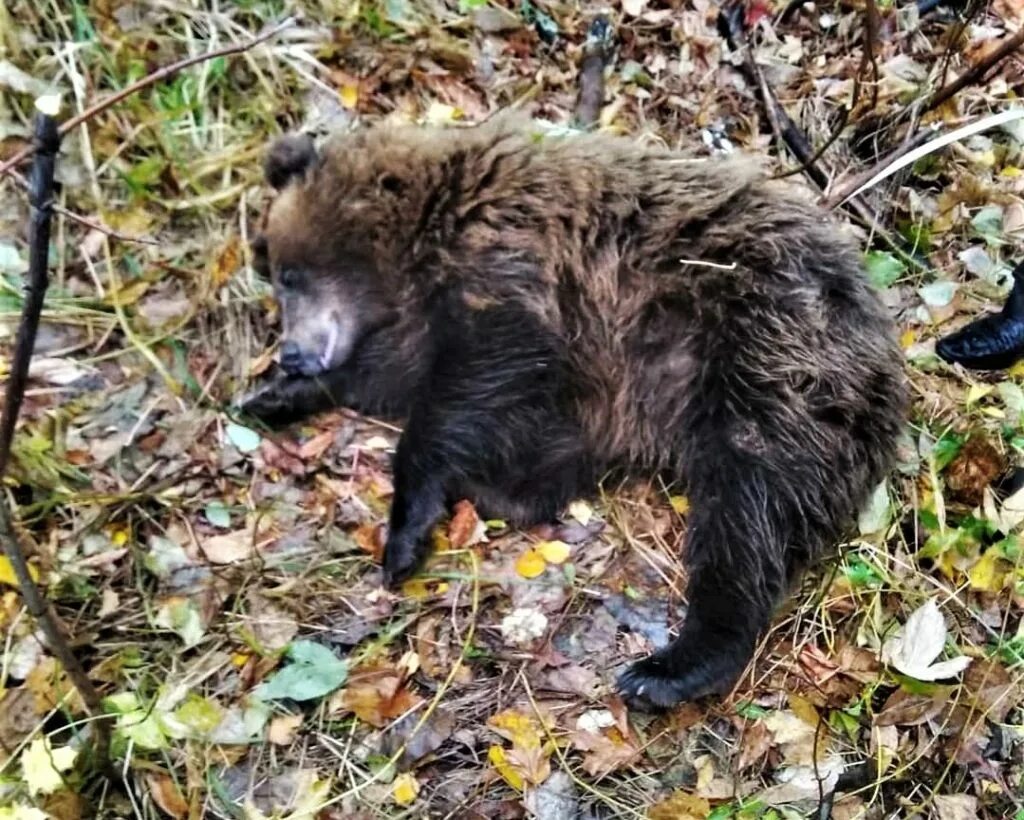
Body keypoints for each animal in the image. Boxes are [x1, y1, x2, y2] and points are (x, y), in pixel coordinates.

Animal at [237, 115, 905, 708]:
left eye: (287, 273)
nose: (291, 353)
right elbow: (404, 379)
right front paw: (272, 396)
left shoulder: (514, 275)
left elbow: (473, 380)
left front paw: (402, 536)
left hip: (761, 353)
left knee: (747, 510)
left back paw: (667, 668)